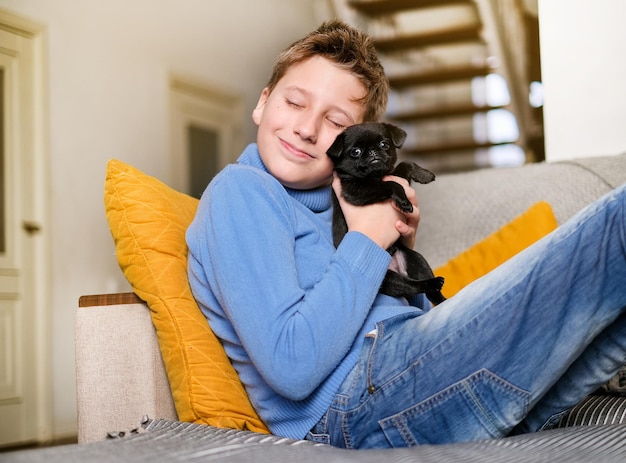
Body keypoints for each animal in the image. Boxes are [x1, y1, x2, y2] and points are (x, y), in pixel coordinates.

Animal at [324, 121, 446, 306]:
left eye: (384, 144)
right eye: (355, 152)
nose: (373, 152)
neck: (376, 175)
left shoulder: (396, 175)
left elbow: (405, 164)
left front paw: (424, 174)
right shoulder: (355, 191)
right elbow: (390, 184)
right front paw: (403, 201)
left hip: (416, 259)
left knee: (425, 288)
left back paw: (442, 297)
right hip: (387, 280)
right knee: (411, 286)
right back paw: (432, 283)